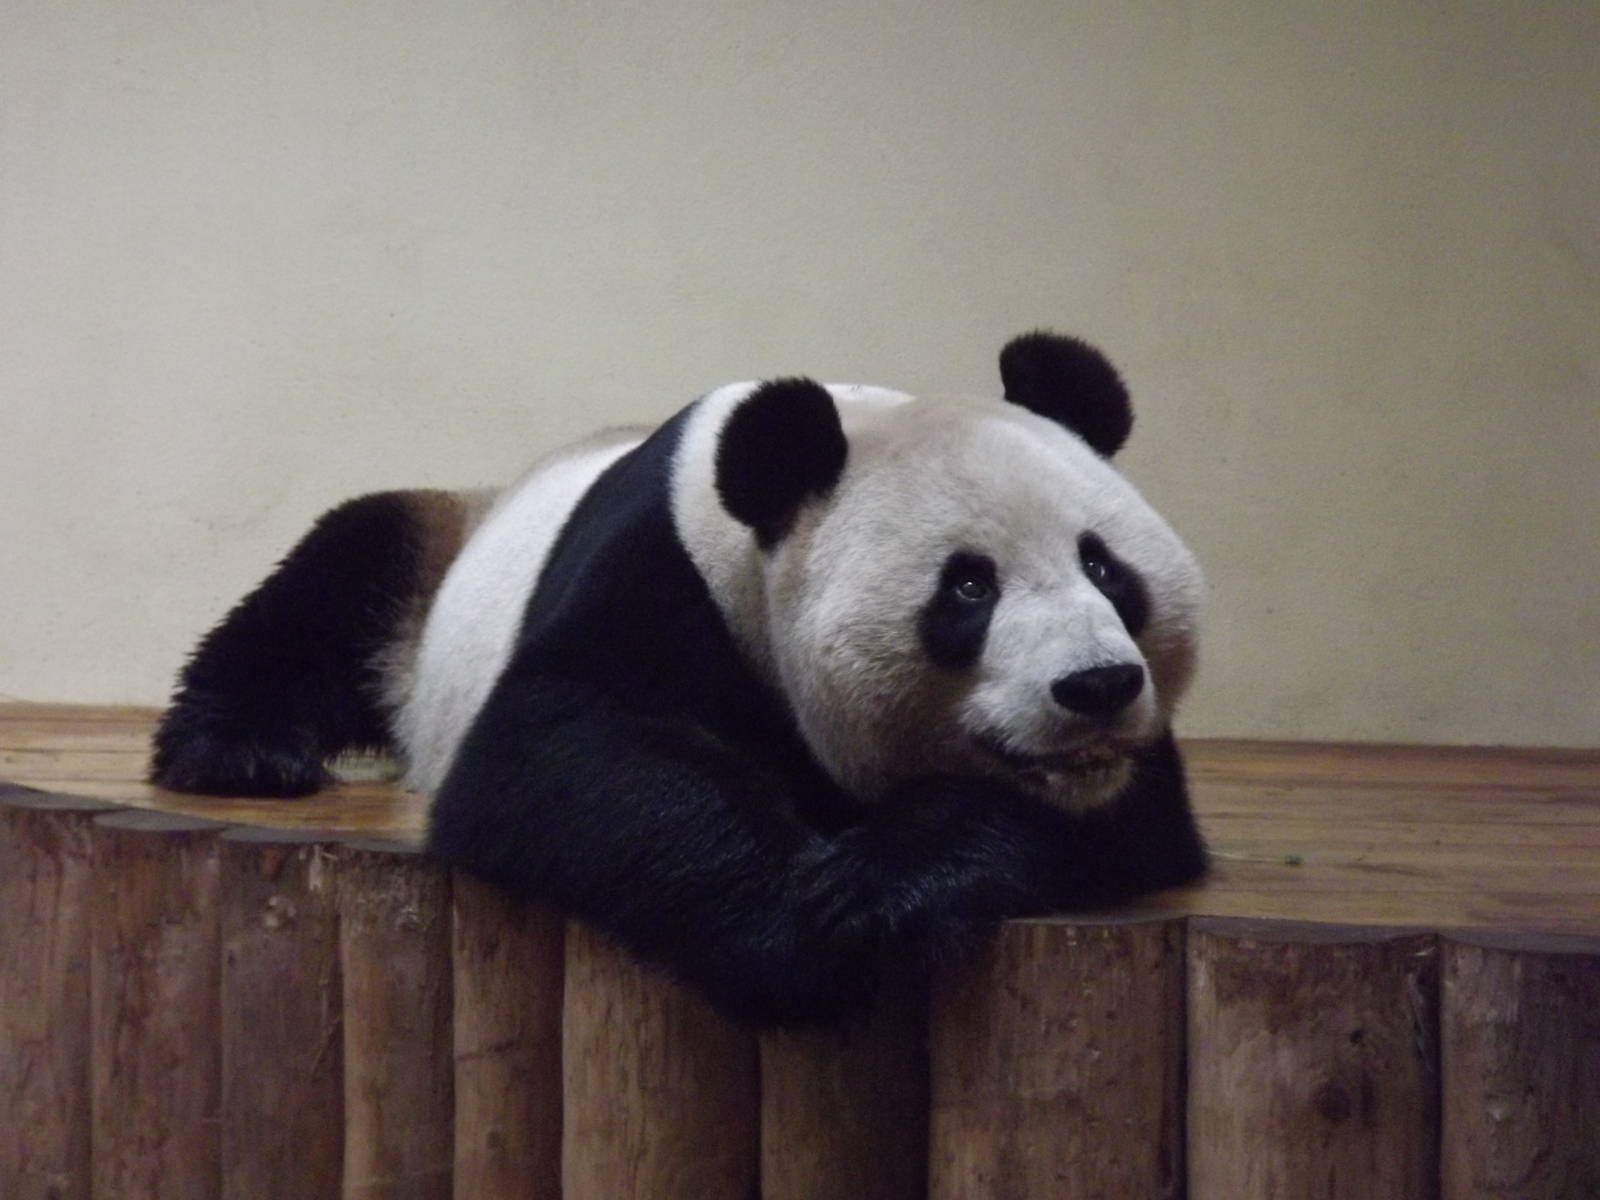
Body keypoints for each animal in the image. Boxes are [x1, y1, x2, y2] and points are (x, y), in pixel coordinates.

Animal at [152, 331, 1207, 1026]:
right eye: (969, 588)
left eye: (1106, 567)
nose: (1097, 686)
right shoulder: (653, 577)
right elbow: (559, 752)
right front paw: (805, 929)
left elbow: (1127, 821)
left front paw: (879, 885)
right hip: (427, 568)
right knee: (333, 579)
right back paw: (239, 751)